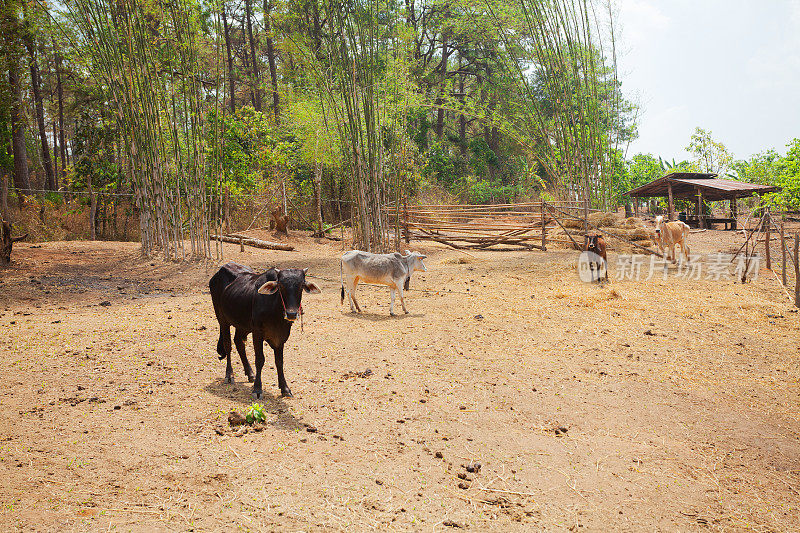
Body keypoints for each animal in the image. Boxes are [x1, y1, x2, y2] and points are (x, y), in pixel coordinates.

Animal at [211, 262, 320, 400]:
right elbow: (260, 360)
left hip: (243, 325)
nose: (291, 314)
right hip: (222, 319)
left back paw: (250, 373)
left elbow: (279, 362)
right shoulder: (257, 333)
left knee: (239, 343)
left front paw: (285, 389)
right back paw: (229, 375)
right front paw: (257, 389)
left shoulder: (280, 337)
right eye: (281, 286)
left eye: (301, 286)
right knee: (228, 345)